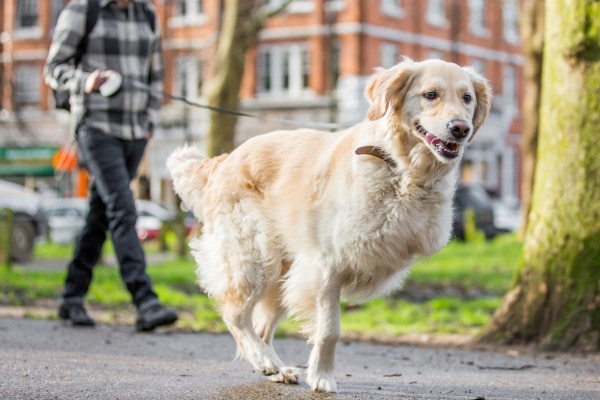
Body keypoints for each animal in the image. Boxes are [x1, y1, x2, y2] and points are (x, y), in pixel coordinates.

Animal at [166, 57, 490, 392]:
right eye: (430, 94)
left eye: (467, 98)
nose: (461, 128)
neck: (401, 170)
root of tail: (224, 159)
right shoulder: (326, 266)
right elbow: (329, 330)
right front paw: (322, 377)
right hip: (255, 257)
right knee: (235, 315)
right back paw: (264, 359)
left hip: (284, 270)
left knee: (260, 324)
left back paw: (276, 368)